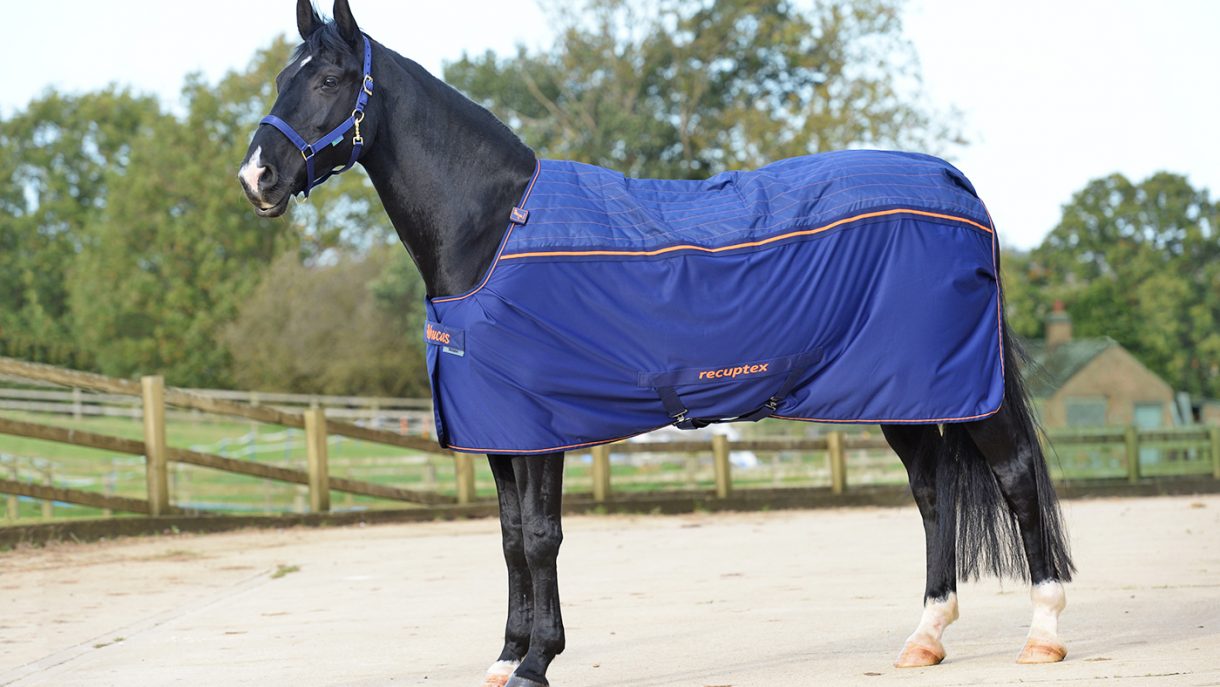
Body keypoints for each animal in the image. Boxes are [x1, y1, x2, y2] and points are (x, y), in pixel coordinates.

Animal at [238, 2, 1074, 685]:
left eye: (331, 78)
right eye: (282, 76)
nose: (257, 177)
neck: (495, 230)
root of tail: (955, 184)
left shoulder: (540, 428)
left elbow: (540, 538)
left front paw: (538, 661)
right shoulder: (500, 430)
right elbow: (508, 540)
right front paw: (506, 655)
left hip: (965, 390)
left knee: (1015, 478)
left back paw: (1042, 632)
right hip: (902, 393)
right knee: (933, 494)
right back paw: (924, 637)